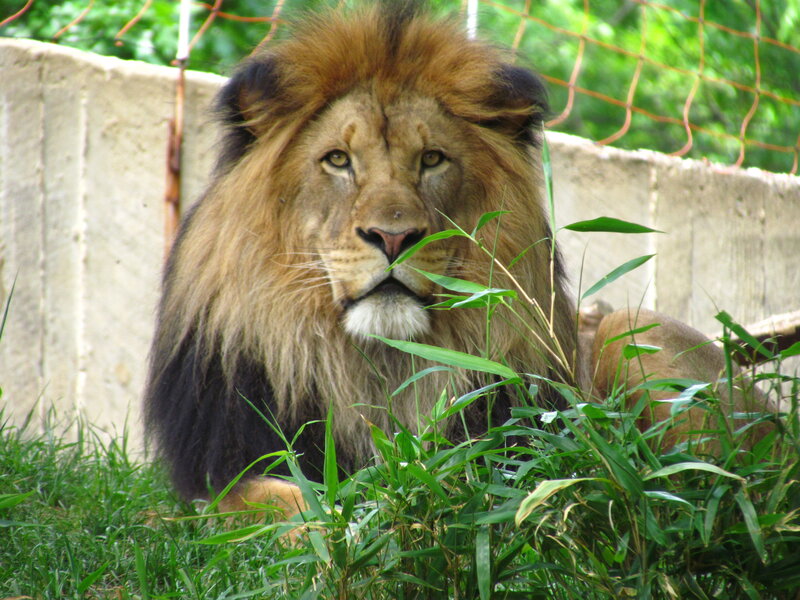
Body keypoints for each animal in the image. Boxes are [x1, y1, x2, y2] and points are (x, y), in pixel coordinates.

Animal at [144, 2, 775, 515]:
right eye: (338, 160)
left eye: (431, 159)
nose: (393, 236)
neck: (381, 364)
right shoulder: (219, 465)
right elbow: (263, 498)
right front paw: (322, 523)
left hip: (632, 326)